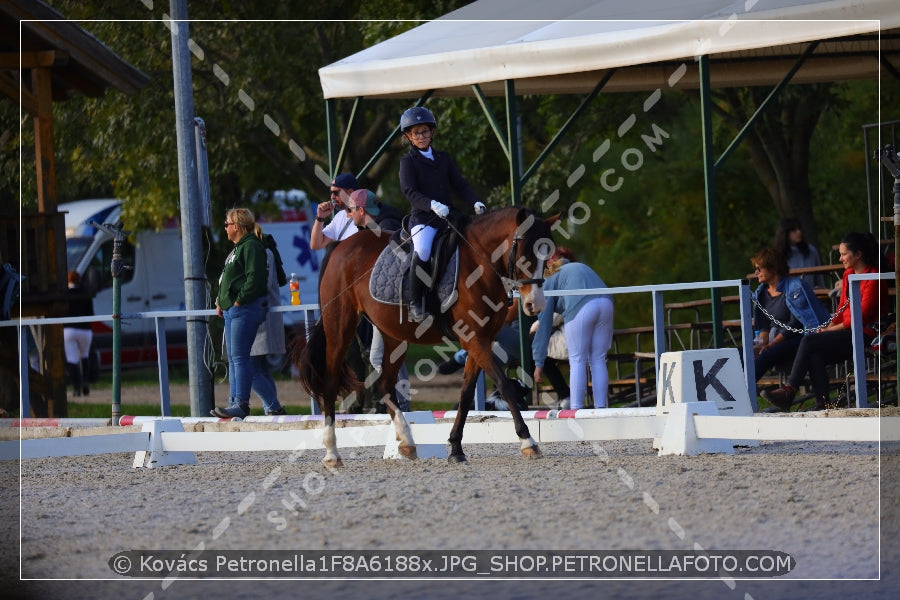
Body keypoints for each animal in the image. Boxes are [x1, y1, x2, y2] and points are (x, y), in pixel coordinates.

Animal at [296, 209, 560, 466]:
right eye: (524, 254)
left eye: (547, 255)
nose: (535, 305)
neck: (479, 263)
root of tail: (342, 245)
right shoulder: (474, 338)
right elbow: (504, 385)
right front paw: (528, 442)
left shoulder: (479, 340)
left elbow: (466, 394)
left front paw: (456, 448)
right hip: (340, 326)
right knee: (331, 381)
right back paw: (332, 453)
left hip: (393, 335)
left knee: (386, 384)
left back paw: (406, 442)